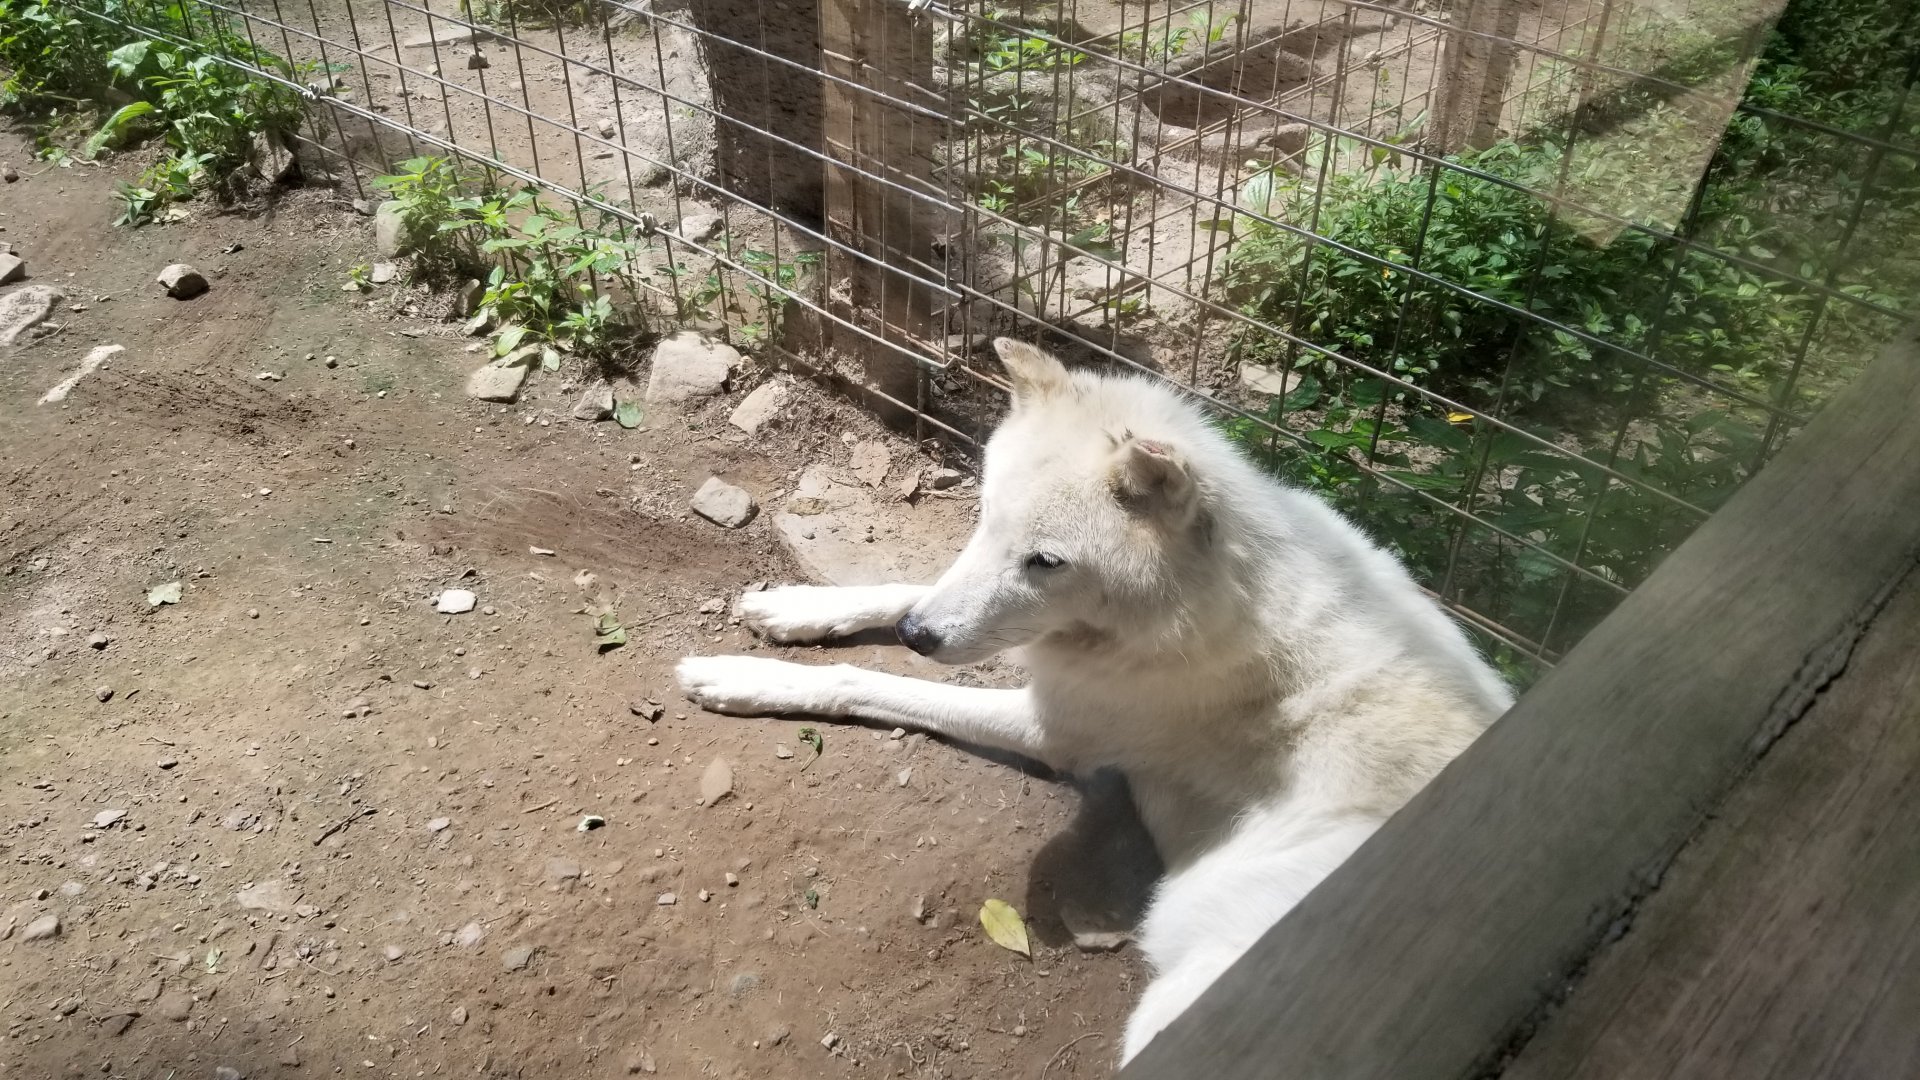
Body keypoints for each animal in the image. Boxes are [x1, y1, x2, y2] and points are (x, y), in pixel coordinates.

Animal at [676, 338, 1514, 1064]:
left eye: (1046, 562)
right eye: (986, 520)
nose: (916, 638)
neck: (1206, 600)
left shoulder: (1056, 728)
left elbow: (870, 682)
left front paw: (742, 677)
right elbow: (905, 587)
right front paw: (792, 608)